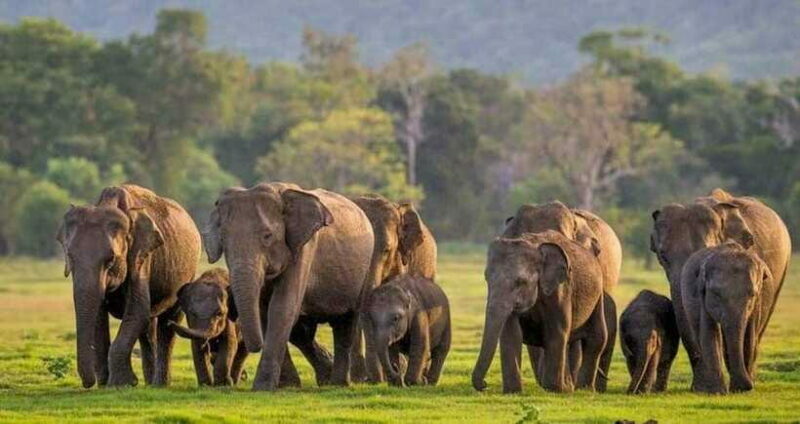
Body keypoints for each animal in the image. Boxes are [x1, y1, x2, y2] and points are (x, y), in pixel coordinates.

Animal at [56, 184, 201, 388]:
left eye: (110, 260)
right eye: (70, 257)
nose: (88, 383)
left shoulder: (141, 257)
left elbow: (137, 310)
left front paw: (122, 384)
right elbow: (100, 316)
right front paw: (105, 384)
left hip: (188, 273)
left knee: (168, 322)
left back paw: (159, 385)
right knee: (148, 327)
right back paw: (150, 383)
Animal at [204, 182, 375, 391]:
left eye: (267, 236)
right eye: (223, 239)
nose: (254, 347)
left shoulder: (304, 248)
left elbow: (281, 308)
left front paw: (263, 388)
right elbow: (265, 311)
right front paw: (287, 386)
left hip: (363, 271)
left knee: (346, 323)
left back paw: (337, 384)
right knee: (304, 332)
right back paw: (325, 377)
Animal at [472, 230, 607, 393]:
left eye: (521, 282)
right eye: (487, 279)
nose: (485, 384)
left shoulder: (560, 290)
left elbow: (557, 331)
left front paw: (555, 389)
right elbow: (511, 333)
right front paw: (513, 392)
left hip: (598, 295)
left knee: (597, 338)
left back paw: (583, 390)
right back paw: (569, 387)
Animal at [680, 241, 773, 393]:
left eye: (752, 295)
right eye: (716, 294)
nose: (748, 386)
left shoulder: (757, 302)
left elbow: (749, 334)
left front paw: (740, 390)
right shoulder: (701, 294)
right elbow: (709, 332)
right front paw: (716, 391)